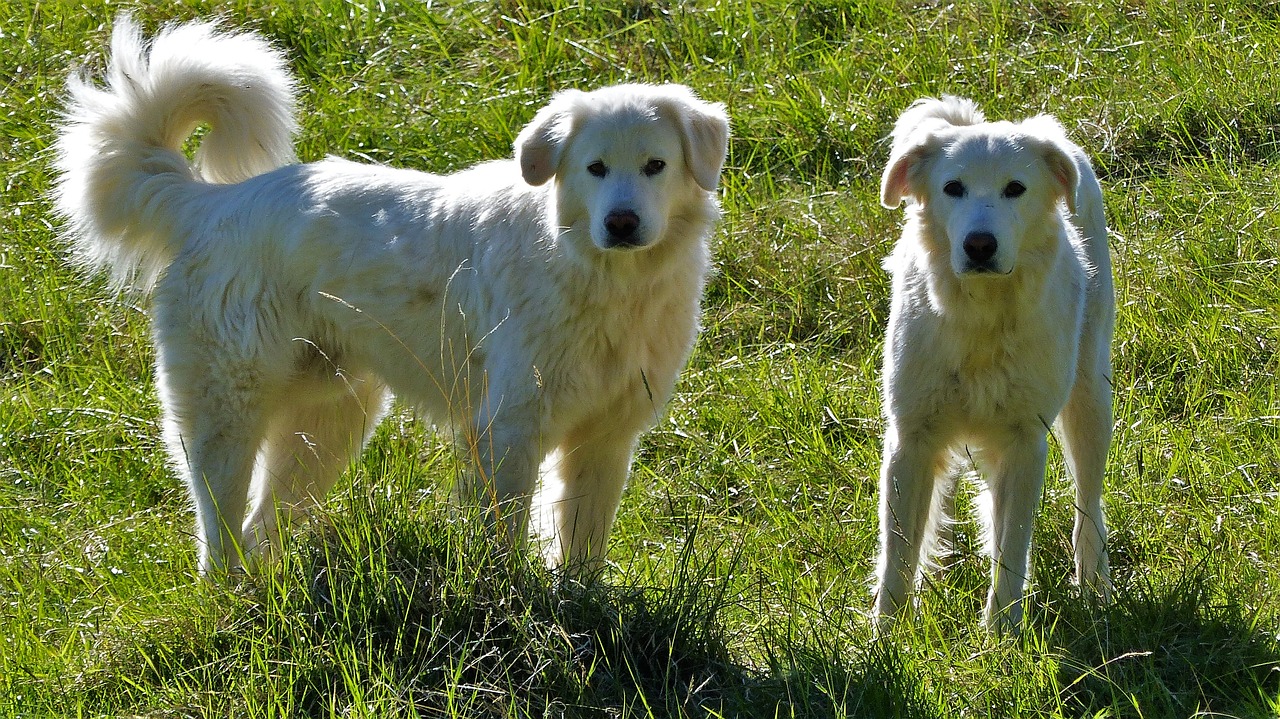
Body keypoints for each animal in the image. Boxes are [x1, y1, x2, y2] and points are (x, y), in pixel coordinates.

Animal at [52, 16, 732, 575]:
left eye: (655, 166)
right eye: (595, 168)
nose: (621, 223)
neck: (603, 279)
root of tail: (210, 202)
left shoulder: (607, 434)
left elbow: (582, 542)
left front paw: (579, 606)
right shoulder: (510, 428)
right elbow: (506, 539)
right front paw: (513, 606)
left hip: (328, 420)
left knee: (261, 527)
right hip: (227, 411)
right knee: (220, 532)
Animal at [875, 94, 1116, 626]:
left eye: (1015, 189)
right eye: (953, 188)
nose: (979, 245)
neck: (982, 318)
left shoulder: (1025, 442)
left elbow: (1013, 547)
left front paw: (1001, 630)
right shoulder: (911, 438)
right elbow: (898, 554)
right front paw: (886, 636)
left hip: (1091, 401)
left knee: (1088, 505)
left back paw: (1096, 586)